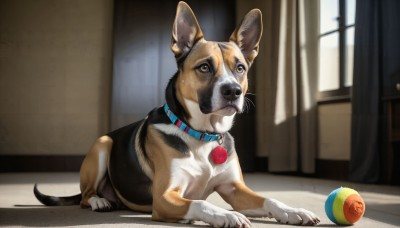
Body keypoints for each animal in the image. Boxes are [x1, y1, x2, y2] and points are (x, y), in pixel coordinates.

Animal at [35, 1, 322, 226]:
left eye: (240, 68)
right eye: (204, 67)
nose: (233, 91)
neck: (205, 134)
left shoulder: (234, 188)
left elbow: (270, 198)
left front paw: (293, 211)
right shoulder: (165, 197)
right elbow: (201, 204)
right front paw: (227, 216)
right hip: (103, 145)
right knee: (85, 196)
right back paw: (99, 202)